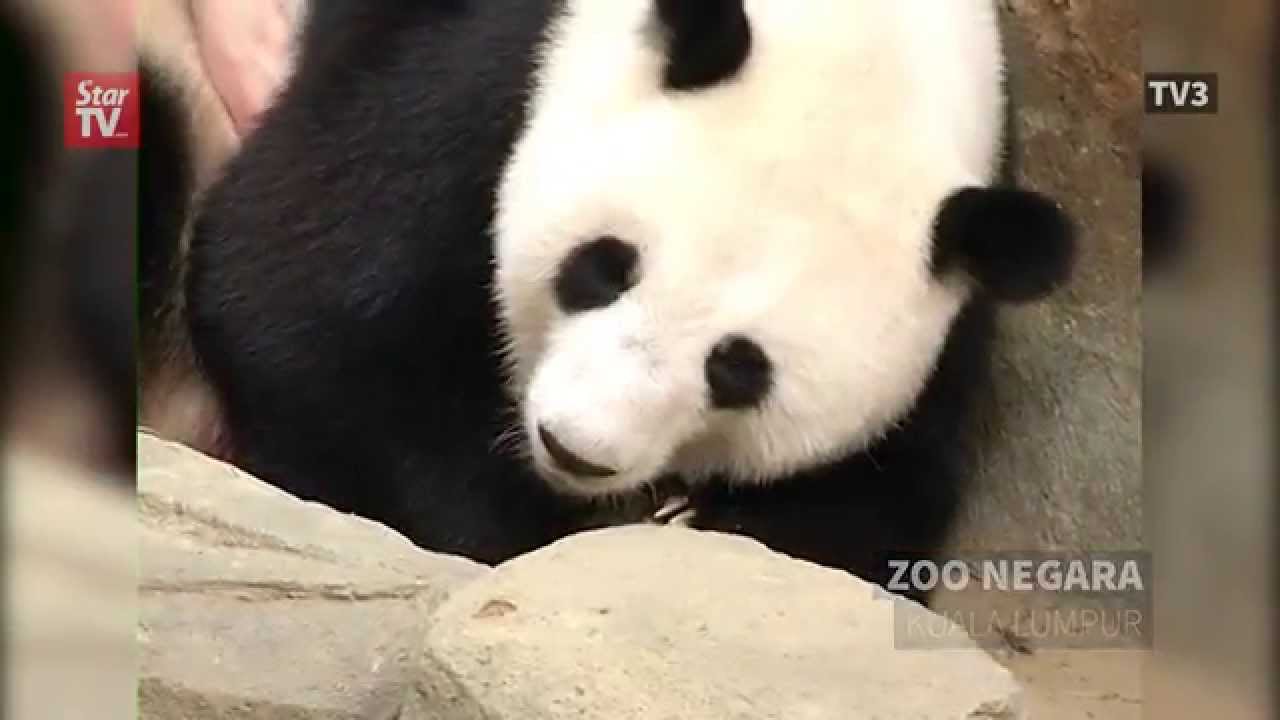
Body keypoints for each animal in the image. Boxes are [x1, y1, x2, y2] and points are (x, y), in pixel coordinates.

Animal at [178, 0, 1075, 603]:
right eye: (603, 268)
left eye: (740, 369)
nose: (576, 449)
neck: (870, 42)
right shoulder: (484, 83)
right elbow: (296, 311)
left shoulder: (961, 294)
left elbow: (882, 503)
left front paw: (695, 521)